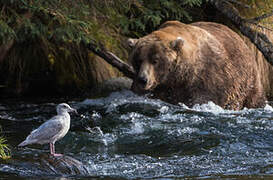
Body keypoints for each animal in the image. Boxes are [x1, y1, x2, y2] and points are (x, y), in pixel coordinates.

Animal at [128, 20, 266, 109]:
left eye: (155, 61)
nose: (143, 80)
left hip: (248, 80)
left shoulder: (208, 78)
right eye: (138, 60)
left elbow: (203, 99)